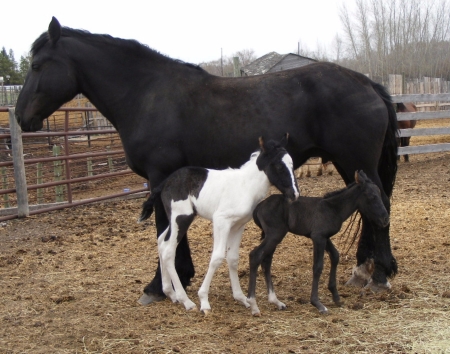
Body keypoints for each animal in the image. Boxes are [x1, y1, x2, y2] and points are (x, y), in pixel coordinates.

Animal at [138, 134, 298, 314]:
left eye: (292, 164)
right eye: (278, 166)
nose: (294, 194)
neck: (245, 186)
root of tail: (166, 182)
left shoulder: (238, 225)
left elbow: (233, 257)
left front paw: (241, 298)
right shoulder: (221, 221)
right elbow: (217, 257)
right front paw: (204, 300)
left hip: (175, 218)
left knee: (161, 241)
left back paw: (170, 293)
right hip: (182, 217)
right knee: (168, 250)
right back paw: (186, 300)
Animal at [246, 170, 390, 316]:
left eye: (379, 193)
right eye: (371, 196)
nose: (385, 219)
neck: (333, 208)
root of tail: (258, 207)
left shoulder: (325, 237)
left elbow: (335, 256)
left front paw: (336, 296)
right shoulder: (318, 237)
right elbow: (318, 266)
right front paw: (318, 303)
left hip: (272, 236)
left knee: (266, 260)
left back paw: (276, 301)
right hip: (275, 234)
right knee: (255, 255)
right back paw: (253, 304)